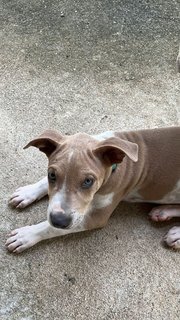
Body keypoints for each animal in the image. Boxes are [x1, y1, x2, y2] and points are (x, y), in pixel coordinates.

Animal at [5, 126, 180, 254]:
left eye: (88, 181)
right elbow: (43, 183)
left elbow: (49, 228)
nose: (59, 220)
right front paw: (27, 192)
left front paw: (26, 235)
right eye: (52, 175)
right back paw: (162, 212)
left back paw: (176, 235)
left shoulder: (96, 217)